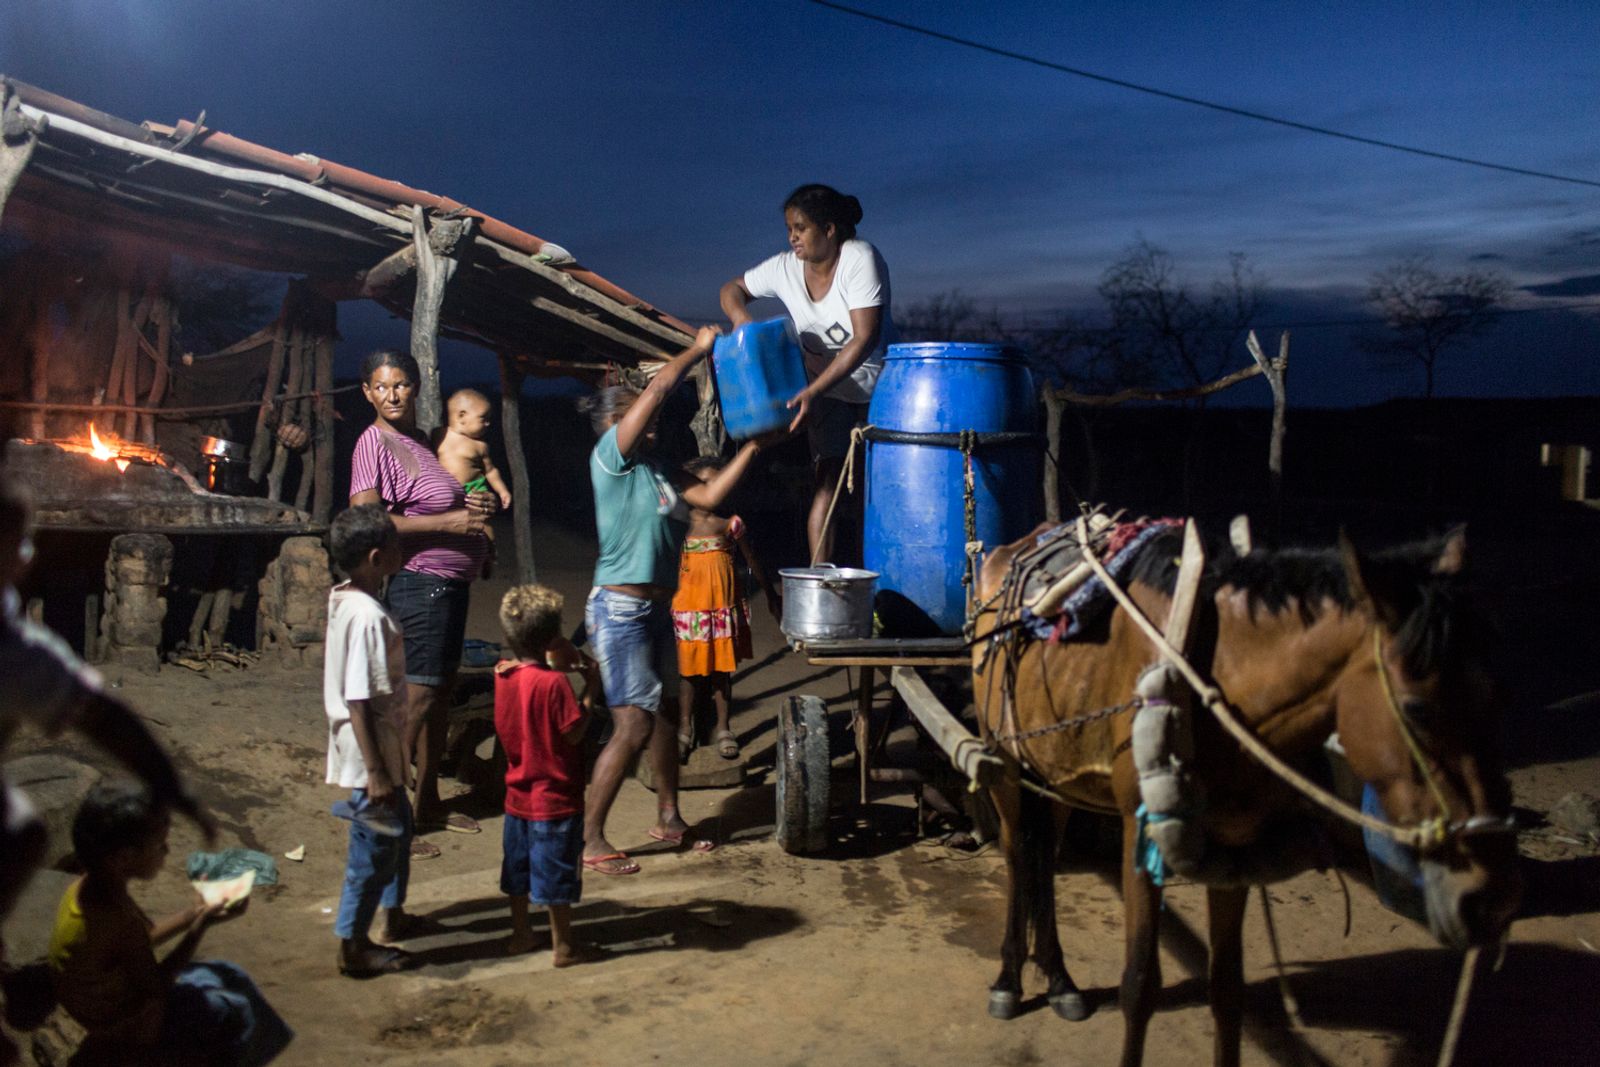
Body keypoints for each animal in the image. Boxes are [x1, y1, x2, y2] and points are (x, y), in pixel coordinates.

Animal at [966, 524, 1516, 1067]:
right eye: (1417, 709)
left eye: (1497, 695)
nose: (1493, 900)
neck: (1218, 679)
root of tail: (1013, 548)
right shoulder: (1139, 836)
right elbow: (1139, 987)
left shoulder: (1233, 849)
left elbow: (1228, 990)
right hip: (1005, 766)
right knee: (1019, 860)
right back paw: (1009, 981)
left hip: (1056, 775)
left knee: (1045, 860)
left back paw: (1059, 980)